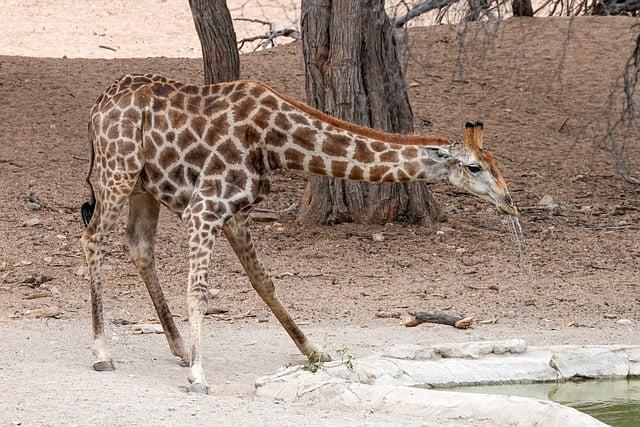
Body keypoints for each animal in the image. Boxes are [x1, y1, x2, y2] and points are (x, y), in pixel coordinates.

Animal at [81, 73, 520, 394]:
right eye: (475, 167)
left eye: (495, 163)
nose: (509, 201)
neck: (274, 142)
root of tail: (96, 107)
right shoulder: (204, 208)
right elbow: (200, 291)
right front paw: (199, 377)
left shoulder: (236, 213)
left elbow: (264, 282)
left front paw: (315, 352)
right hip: (117, 173)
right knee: (93, 239)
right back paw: (102, 352)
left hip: (144, 187)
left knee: (139, 246)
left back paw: (179, 346)